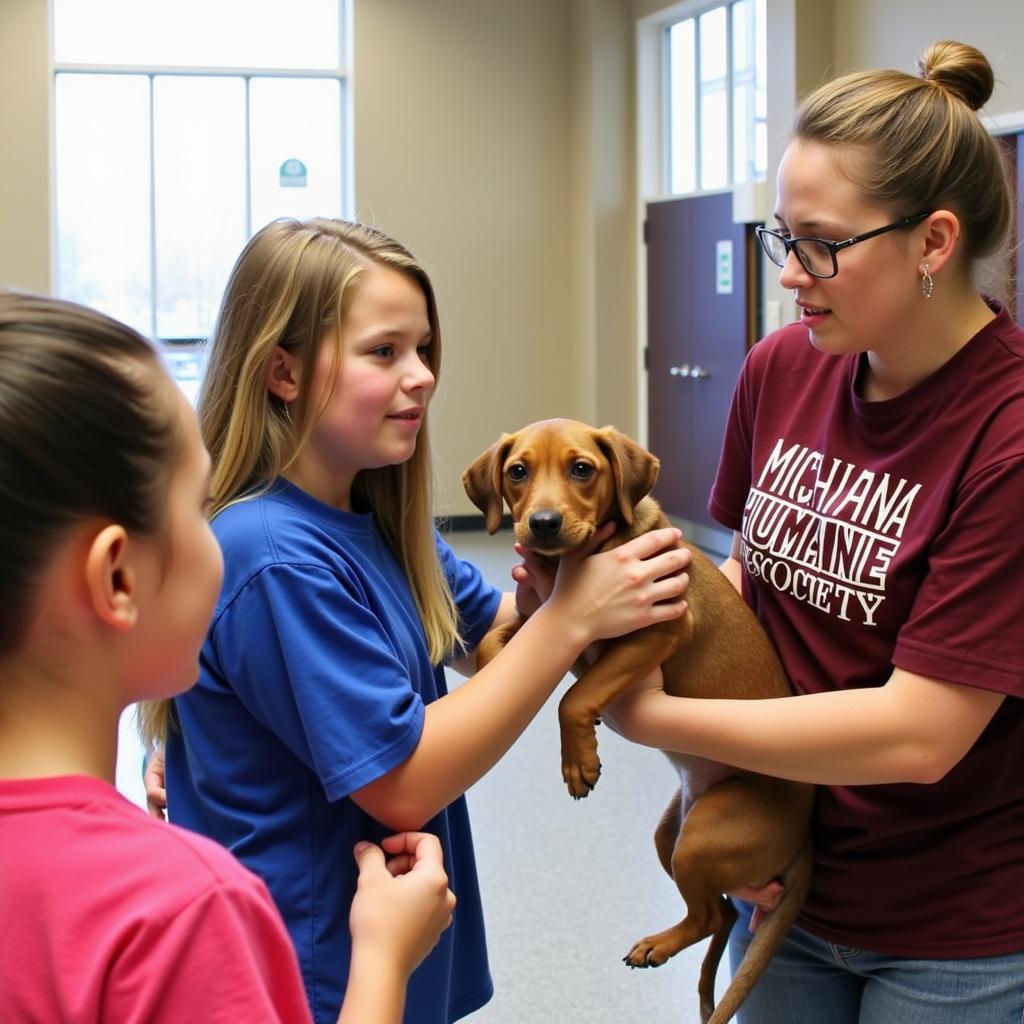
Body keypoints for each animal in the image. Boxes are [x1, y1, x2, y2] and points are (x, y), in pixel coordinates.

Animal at [466, 415, 815, 1024]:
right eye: (517, 472)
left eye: (583, 469)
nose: (543, 524)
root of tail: (804, 840)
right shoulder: (542, 619)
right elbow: (493, 642)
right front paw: (496, 684)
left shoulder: (660, 628)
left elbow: (574, 696)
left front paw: (578, 761)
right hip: (671, 835)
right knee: (722, 914)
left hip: (702, 838)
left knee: (709, 916)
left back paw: (656, 944)